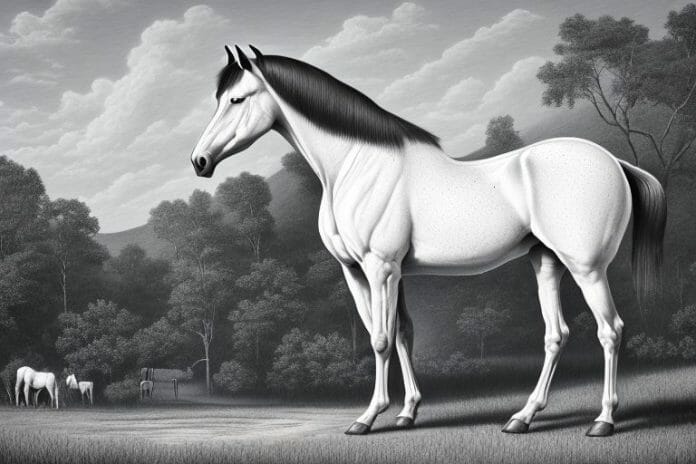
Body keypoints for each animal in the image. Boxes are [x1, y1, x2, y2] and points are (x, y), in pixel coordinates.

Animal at [190, 45, 666, 437]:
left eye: (237, 99)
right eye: (217, 98)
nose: (199, 161)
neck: (358, 165)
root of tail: (614, 161)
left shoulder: (379, 268)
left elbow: (380, 340)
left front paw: (368, 418)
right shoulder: (367, 273)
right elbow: (401, 334)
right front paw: (407, 413)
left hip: (587, 268)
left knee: (610, 331)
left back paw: (603, 421)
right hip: (546, 262)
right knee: (556, 335)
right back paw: (522, 418)